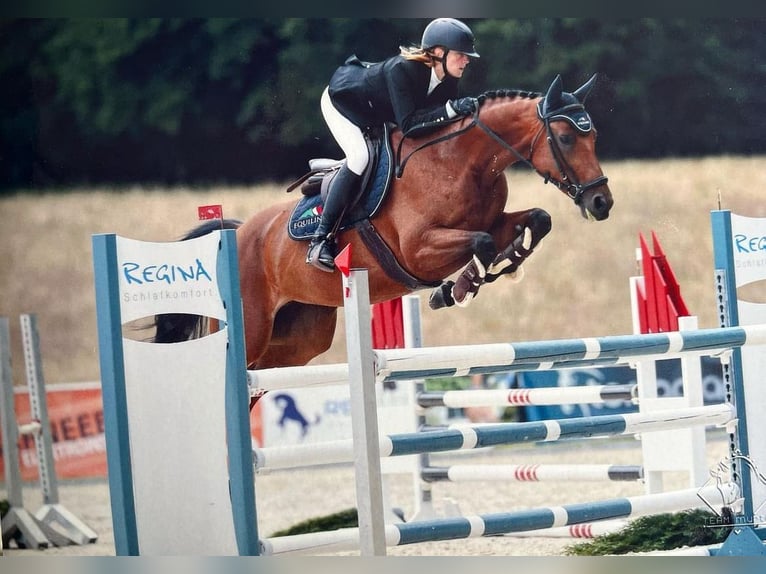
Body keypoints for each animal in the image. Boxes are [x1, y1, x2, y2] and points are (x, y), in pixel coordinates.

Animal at [153, 75, 616, 400]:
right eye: (566, 137)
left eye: (594, 136)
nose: (601, 203)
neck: (460, 162)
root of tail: (239, 232)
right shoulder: (418, 249)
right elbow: (482, 243)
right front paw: (456, 289)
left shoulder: (494, 219)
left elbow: (536, 220)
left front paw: (504, 266)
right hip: (251, 328)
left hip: (299, 341)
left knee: (261, 380)